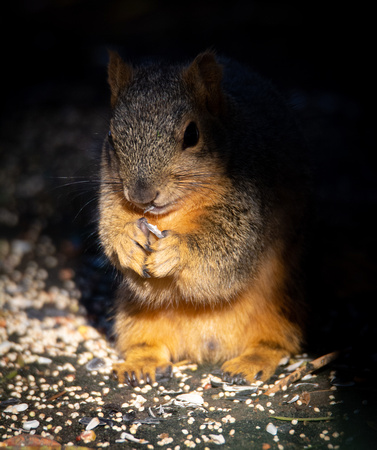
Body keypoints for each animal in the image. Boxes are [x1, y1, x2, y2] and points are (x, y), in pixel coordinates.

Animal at [98, 50, 306, 386]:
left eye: (192, 135)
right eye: (111, 137)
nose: (142, 195)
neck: (173, 211)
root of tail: (206, 347)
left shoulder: (248, 207)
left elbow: (227, 254)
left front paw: (175, 251)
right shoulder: (110, 195)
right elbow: (110, 229)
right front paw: (127, 241)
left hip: (282, 300)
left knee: (275, 343)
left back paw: (251, 362)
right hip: (132, 313)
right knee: (147, 343)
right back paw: (140, 363)